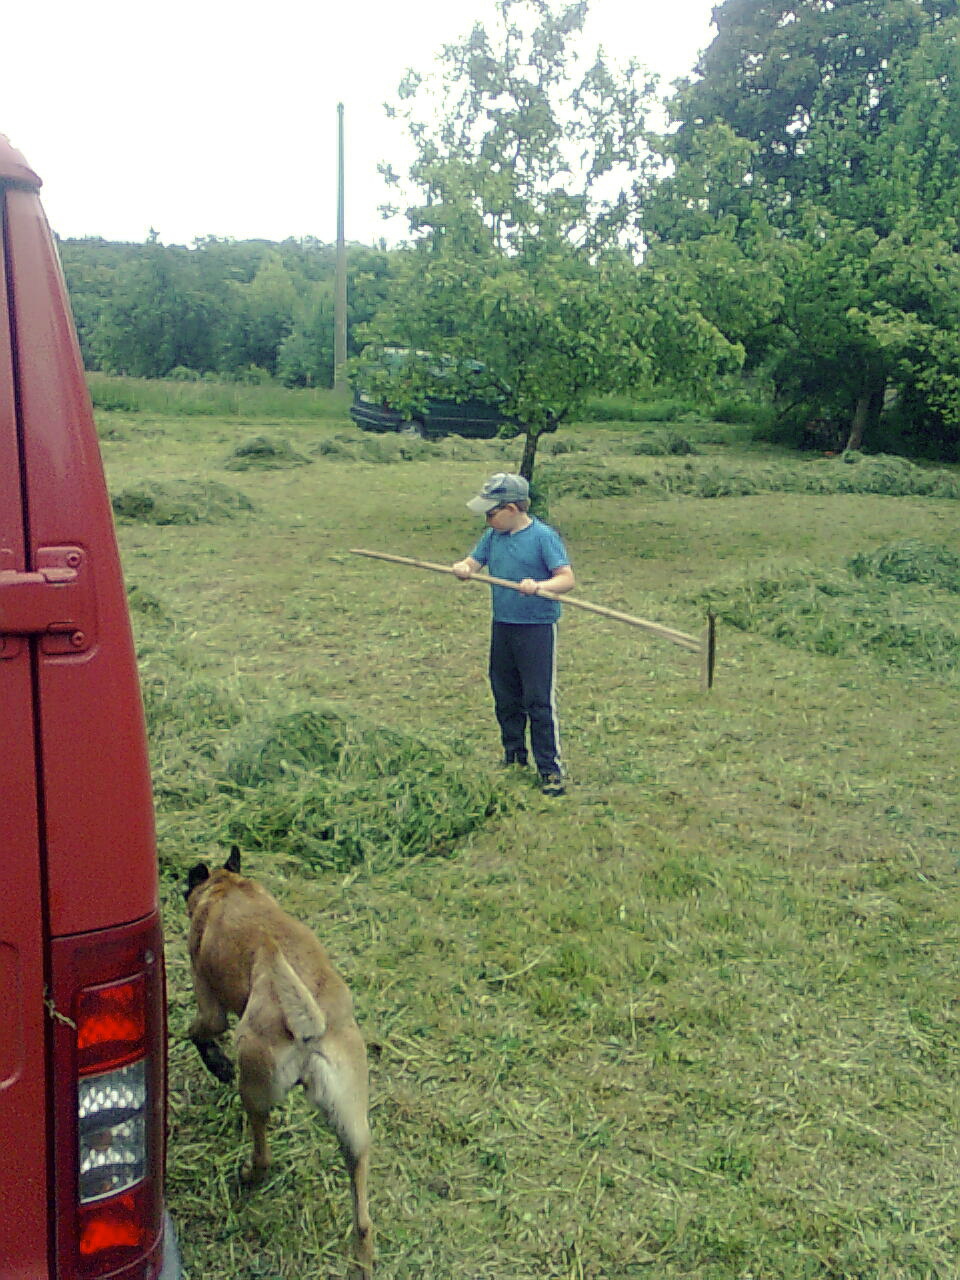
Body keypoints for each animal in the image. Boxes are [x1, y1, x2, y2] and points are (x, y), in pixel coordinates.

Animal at [185, 844, 373, 1274]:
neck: (228, 887)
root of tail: (311, 1026)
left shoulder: (209, 1005)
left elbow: (198, 1033)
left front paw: (216, 1064)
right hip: (351, 1123)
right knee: (363, 1213)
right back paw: (365, 1258)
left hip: (255, 1087)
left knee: (263, 1152)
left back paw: (248, 1176)